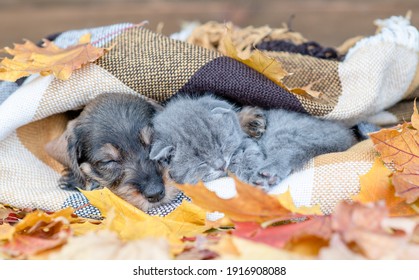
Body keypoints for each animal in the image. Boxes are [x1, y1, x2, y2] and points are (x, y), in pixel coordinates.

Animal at [149, 95, 356, 189]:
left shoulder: (246, 143)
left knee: (289, 153)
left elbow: (246, 155)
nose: (220, 165)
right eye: (200, 162)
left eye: (221, 145)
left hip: (286, 133)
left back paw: (266, 173)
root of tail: (346, 135)